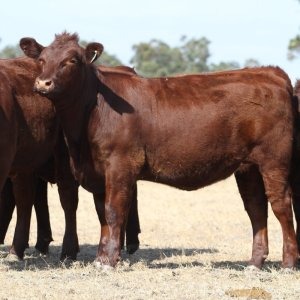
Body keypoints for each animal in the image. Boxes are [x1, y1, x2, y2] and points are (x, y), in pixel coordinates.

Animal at [20, 31, 298, 268]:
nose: (43, 83)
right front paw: (100, 258)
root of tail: (270, 73)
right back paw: (255, 262)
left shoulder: (120, 166)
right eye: (42, 59)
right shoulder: (98, 172)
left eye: (71, 61)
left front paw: (109, 261)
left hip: (274, 160)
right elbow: (102, 215)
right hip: (248, 167)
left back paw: (289, 262)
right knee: (256, 207)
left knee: (281, 204)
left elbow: (113, 212)